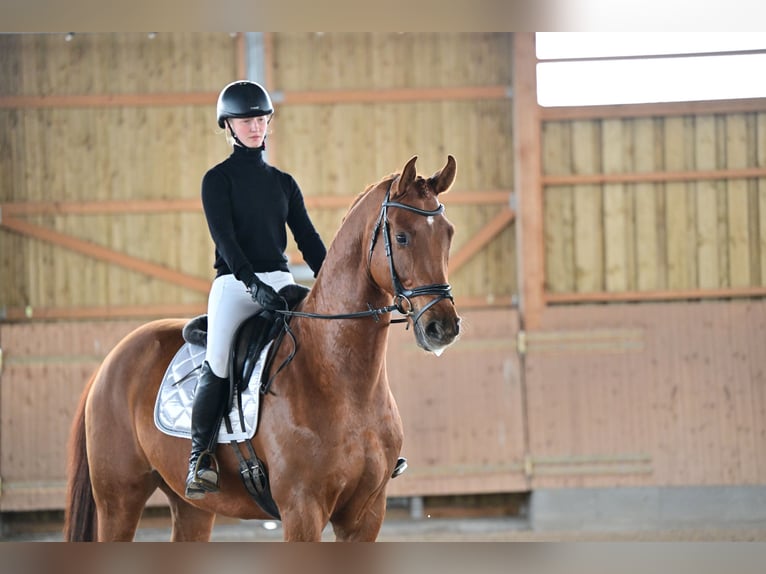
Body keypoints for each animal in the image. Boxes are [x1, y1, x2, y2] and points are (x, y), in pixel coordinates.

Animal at [64, 155, 462, 544]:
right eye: (402, 236)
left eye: (448, 234)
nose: (443, 327)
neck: (339, 379)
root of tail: (111, 361)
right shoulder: (302, 509)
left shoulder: (366, 515)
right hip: (119, 499)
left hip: (191, 507)